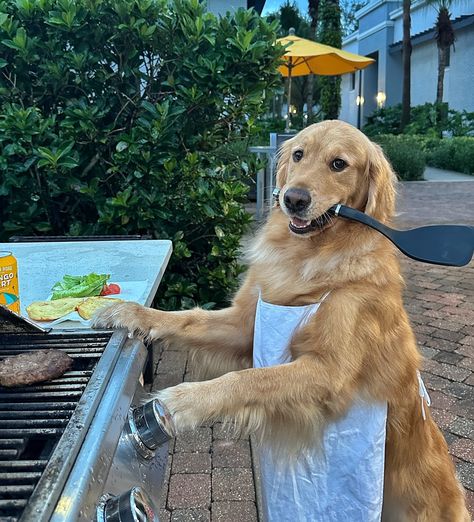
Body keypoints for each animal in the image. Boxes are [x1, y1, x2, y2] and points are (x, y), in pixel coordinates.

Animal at [93, 120, 470, 516]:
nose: (293, 199)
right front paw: (130, 311)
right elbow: (185, 320)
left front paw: (183, 401)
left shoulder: (329, 371)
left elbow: (250, 379)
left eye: (339, 164)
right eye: (299, 154)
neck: (310, 255)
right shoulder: (242, 326)